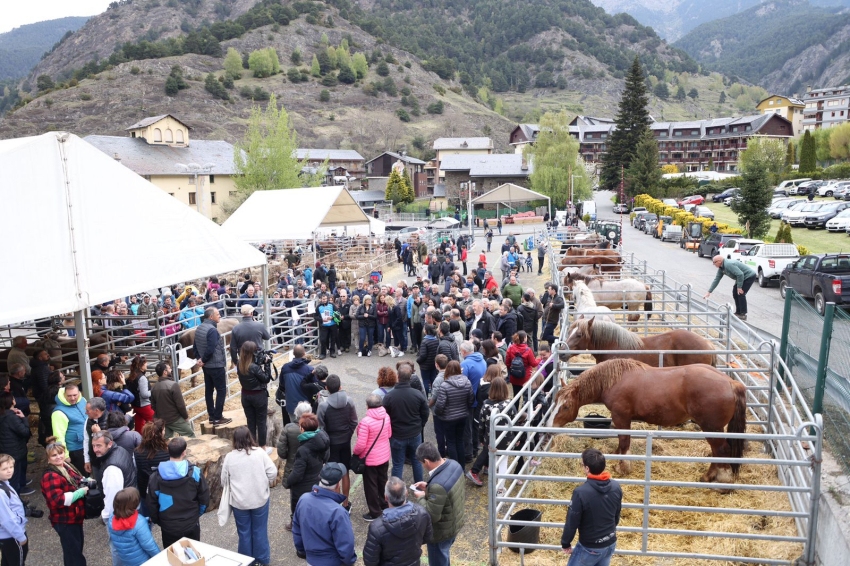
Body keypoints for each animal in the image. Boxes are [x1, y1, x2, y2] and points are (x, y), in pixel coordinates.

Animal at [548, 360, 744, 484]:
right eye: (555, 401)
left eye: (566, 406)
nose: (550, 426)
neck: (615, 379)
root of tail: (731, 383)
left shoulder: (621, 417)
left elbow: (624, 441)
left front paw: (623, 467)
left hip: (711, 428)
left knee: (721, 451)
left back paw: (718, 480)